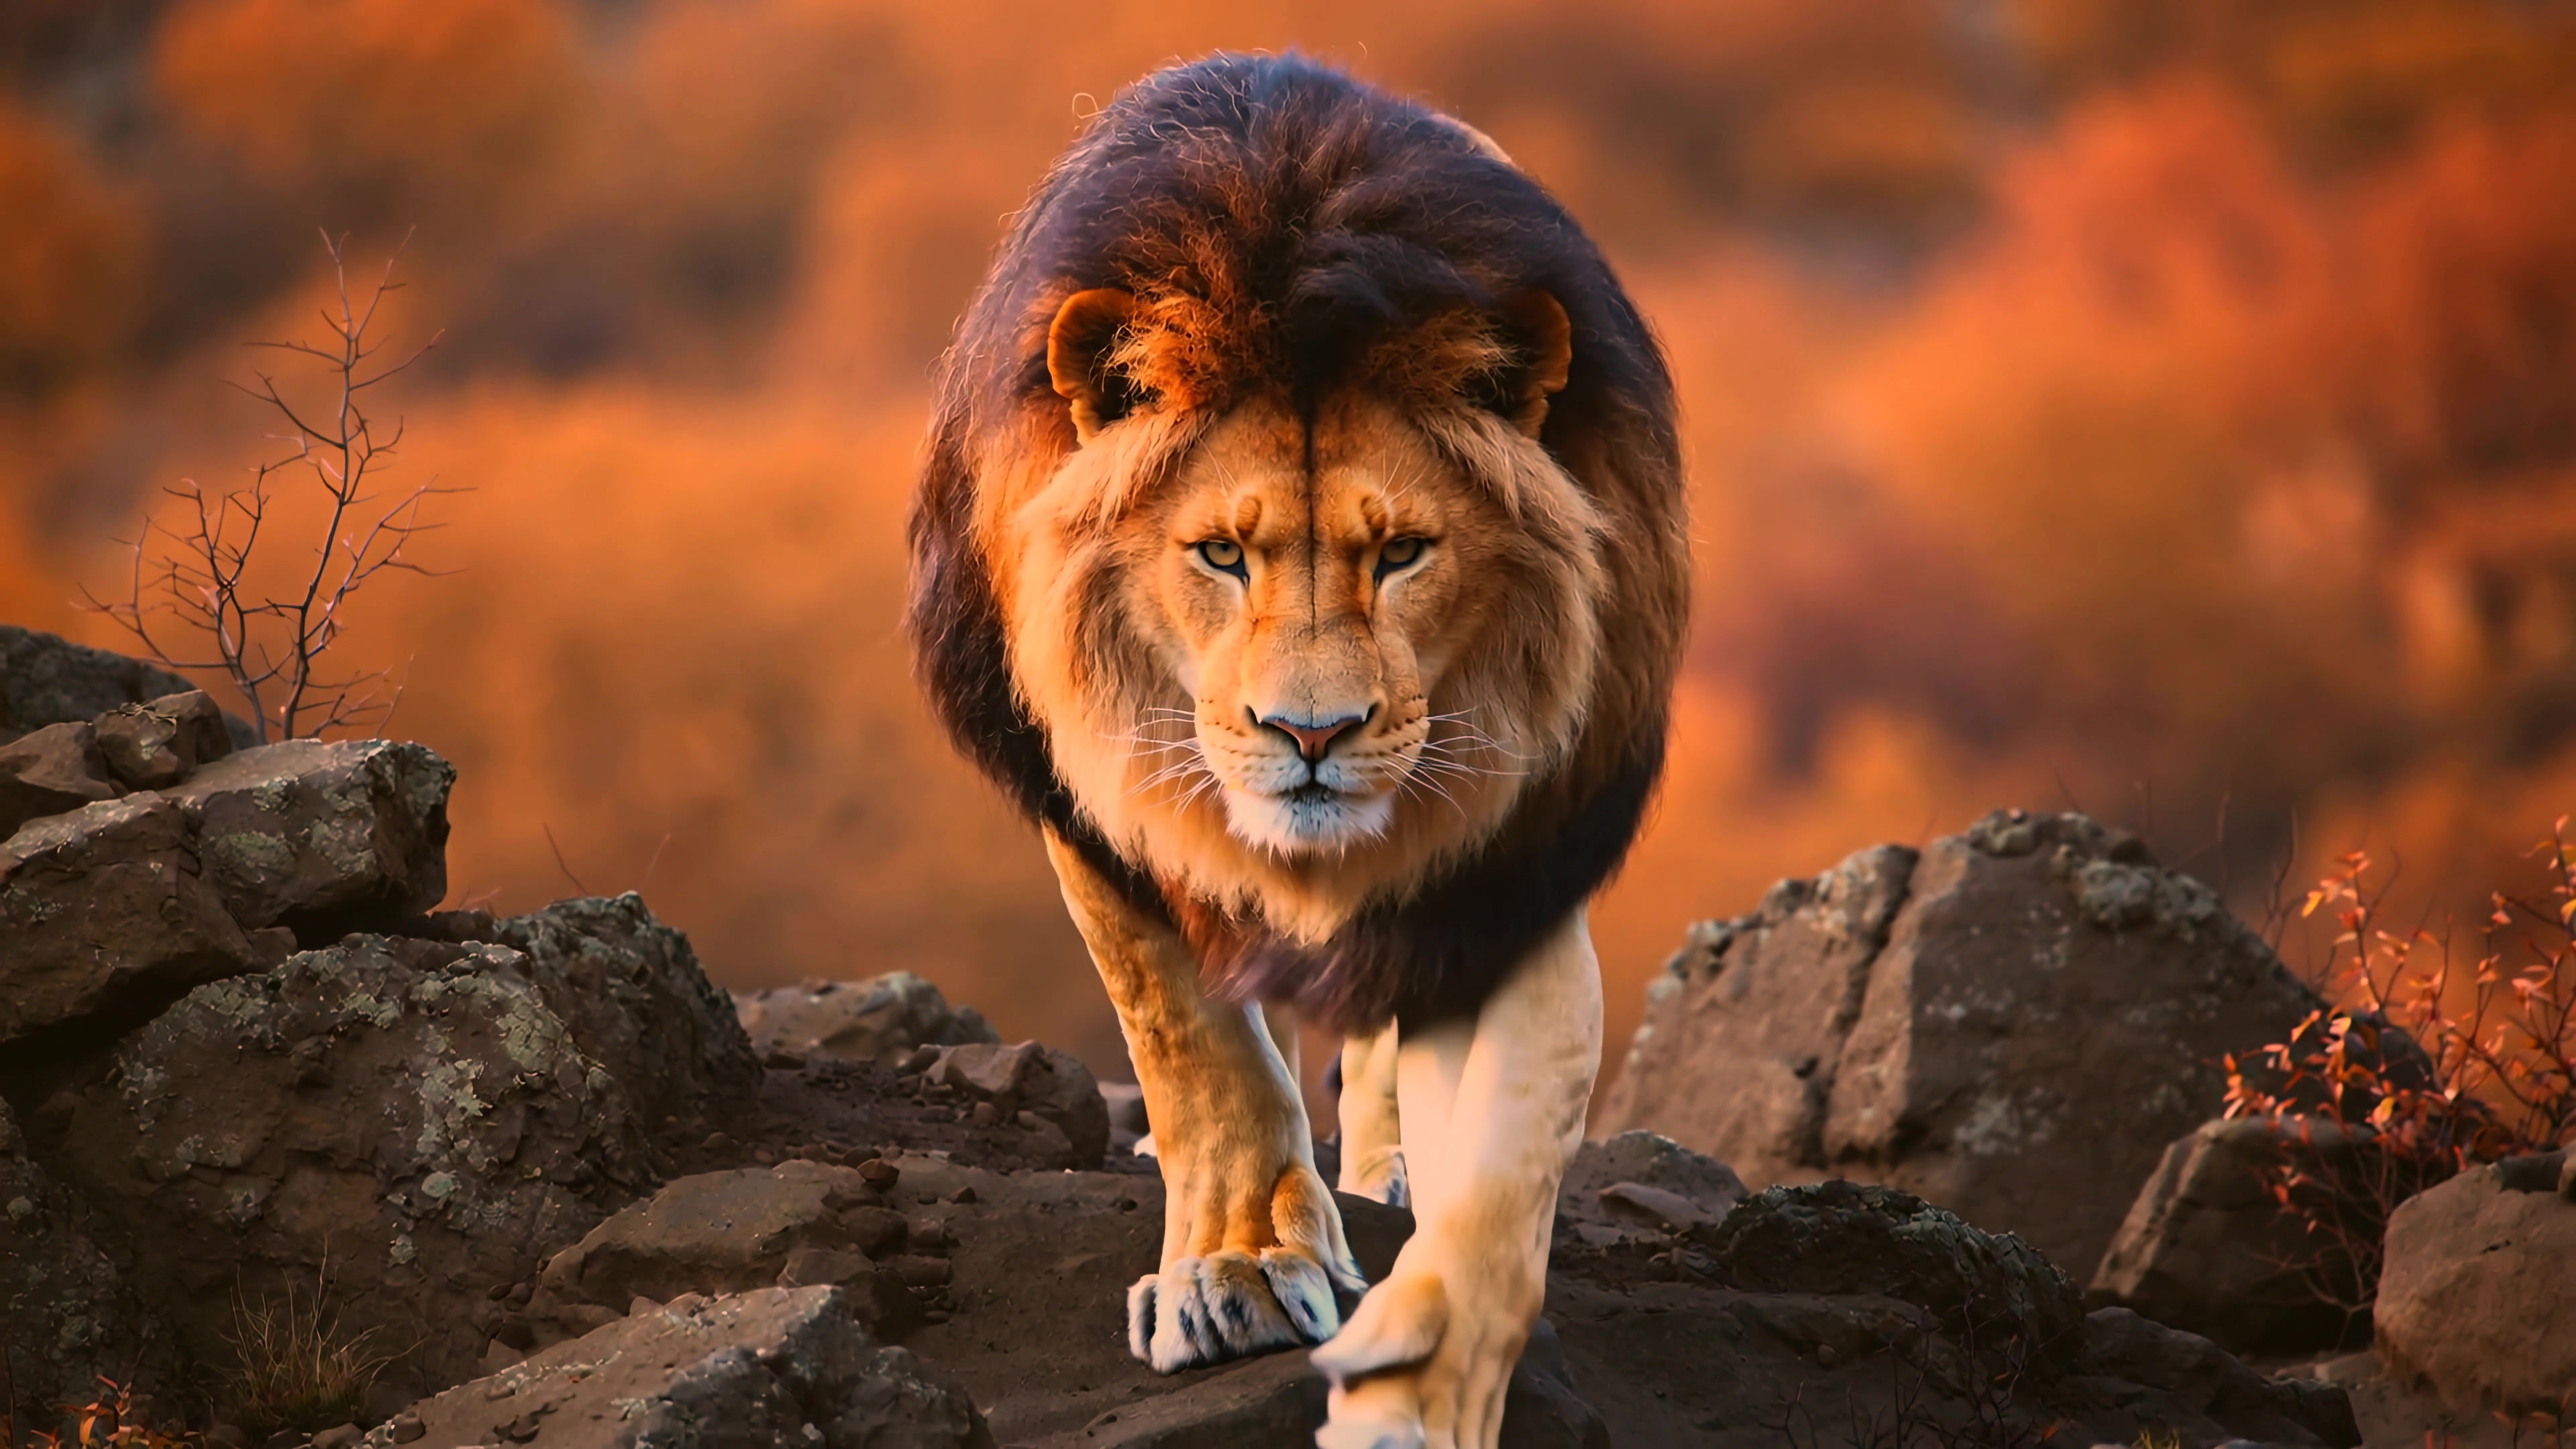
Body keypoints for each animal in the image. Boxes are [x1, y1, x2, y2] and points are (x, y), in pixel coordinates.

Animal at [907, 54, 1686, 1449]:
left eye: (1404, 553)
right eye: (1222, 552)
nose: (1310, 736)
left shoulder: (1520, 863)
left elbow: (1511, 1151)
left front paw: (1422, 1393)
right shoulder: (1088, 803)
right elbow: (1186, 1032)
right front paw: (1240, 1268)